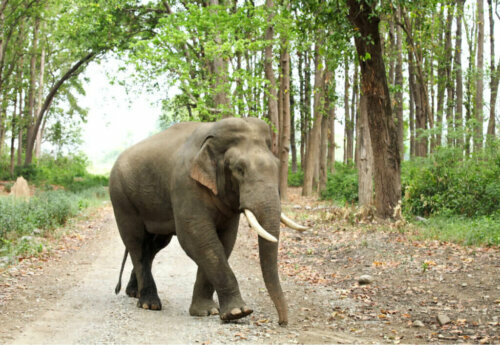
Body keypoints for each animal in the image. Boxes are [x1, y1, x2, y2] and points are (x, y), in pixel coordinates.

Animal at [110, 117, 306, 324]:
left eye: (277, 165)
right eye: (239, 169)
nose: (282, 322)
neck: (212, 134)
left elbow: (224, 241)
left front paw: (207, 311)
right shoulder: (185, 184)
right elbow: (198, 239)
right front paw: (238, 312)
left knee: (154, 245)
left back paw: (134, 293)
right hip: (121, 199)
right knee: (136, 242)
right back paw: (150, 304)